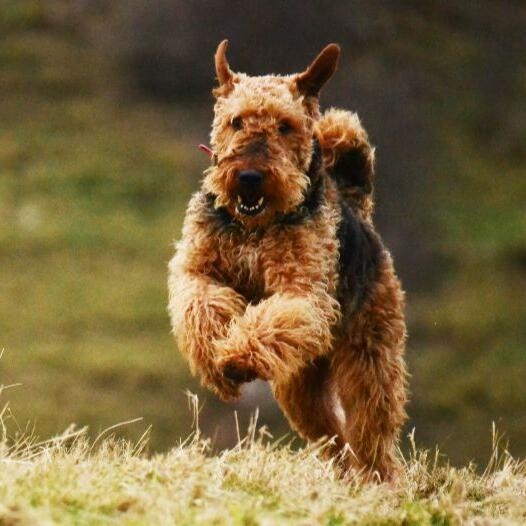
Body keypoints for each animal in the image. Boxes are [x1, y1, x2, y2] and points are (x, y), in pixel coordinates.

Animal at [169, 41, 408, 484]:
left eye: (285, 125)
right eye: (236, 121)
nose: (248, 177)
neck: (254, 227)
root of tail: (357, 207)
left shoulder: (301, 292)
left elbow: (272, 319)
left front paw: (237, 358)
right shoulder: (197, 272)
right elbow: (202, 308)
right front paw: (217, 366)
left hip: (369, 358)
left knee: (371, 433)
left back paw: (378, 481)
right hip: (301, 384)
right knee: (332, 436)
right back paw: (343, 476)